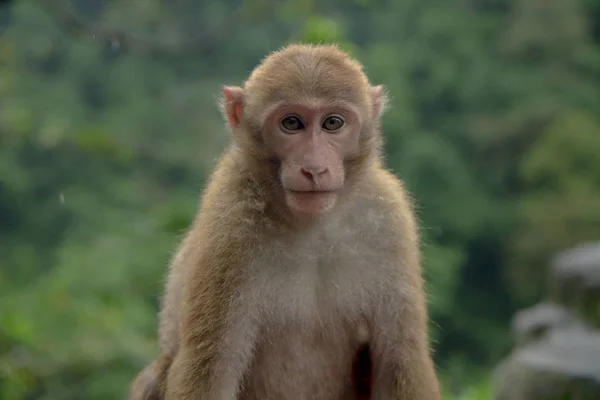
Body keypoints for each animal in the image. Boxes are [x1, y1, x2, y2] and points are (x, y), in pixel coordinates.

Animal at [130, 43, 440, 400]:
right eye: (291, 123)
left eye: (333, 123)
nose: (314, 168)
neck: (313, 226)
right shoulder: (229, 222)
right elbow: (210, 371)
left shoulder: (388, 218)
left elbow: (400, 362)